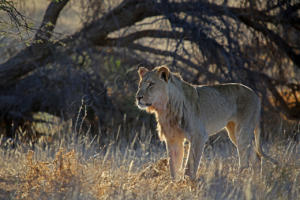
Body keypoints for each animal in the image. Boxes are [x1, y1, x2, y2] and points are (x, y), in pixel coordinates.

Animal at [136, 65, 276, 180]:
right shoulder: (173, 139)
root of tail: (255, 94)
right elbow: (173, 166)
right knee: (255, 156)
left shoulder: (199, 135)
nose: (138, 97)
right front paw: (174, 184)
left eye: (150, 84)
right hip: (233, 132)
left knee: (245, 157)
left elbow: (190, 165)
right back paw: (255, 180)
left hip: (243, 131)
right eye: (140, 85)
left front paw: (188, 183)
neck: (166, 108)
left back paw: (240, 178)